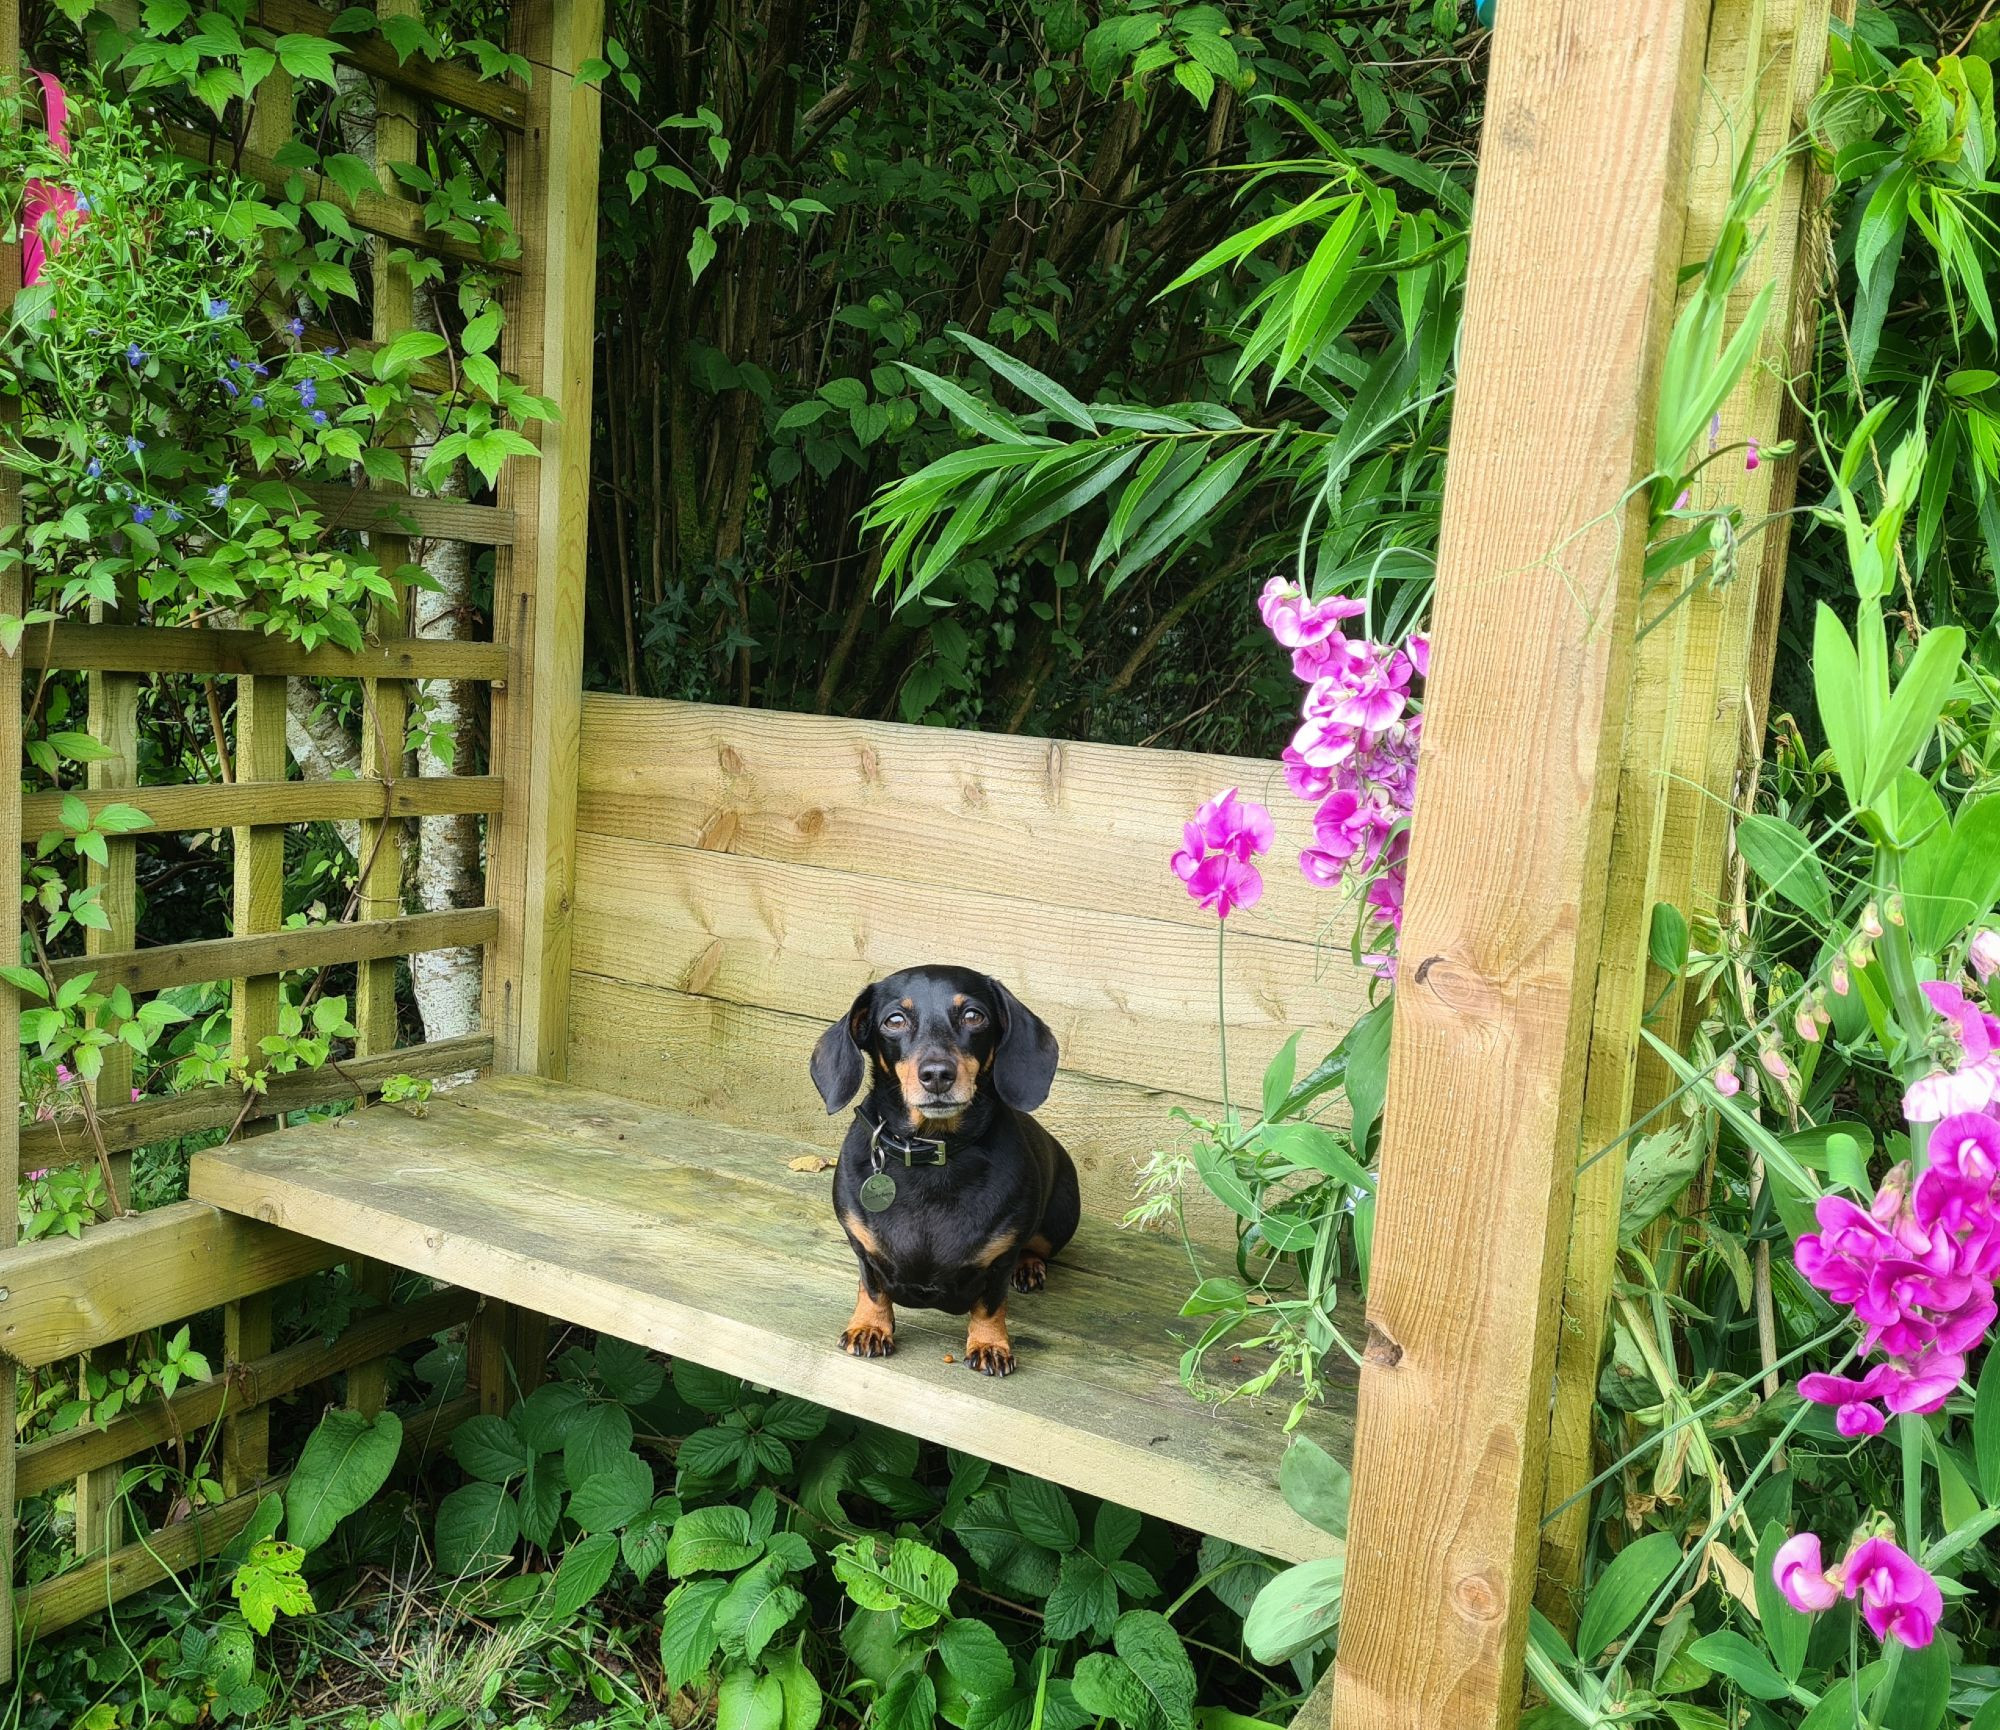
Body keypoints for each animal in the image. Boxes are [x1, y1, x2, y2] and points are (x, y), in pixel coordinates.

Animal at [808, 960, 1080, 1376]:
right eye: (895, 1020)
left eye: (973, 1015)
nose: (937, 1074)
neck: (933, 1154)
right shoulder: (863, 1246)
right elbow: (872, 1287)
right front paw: (869, 1327)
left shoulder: (1000, 1258)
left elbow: (990, 1304)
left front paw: (990, 1345)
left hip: (1058, 1221)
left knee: (1038, 1248)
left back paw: (1030, 1267)